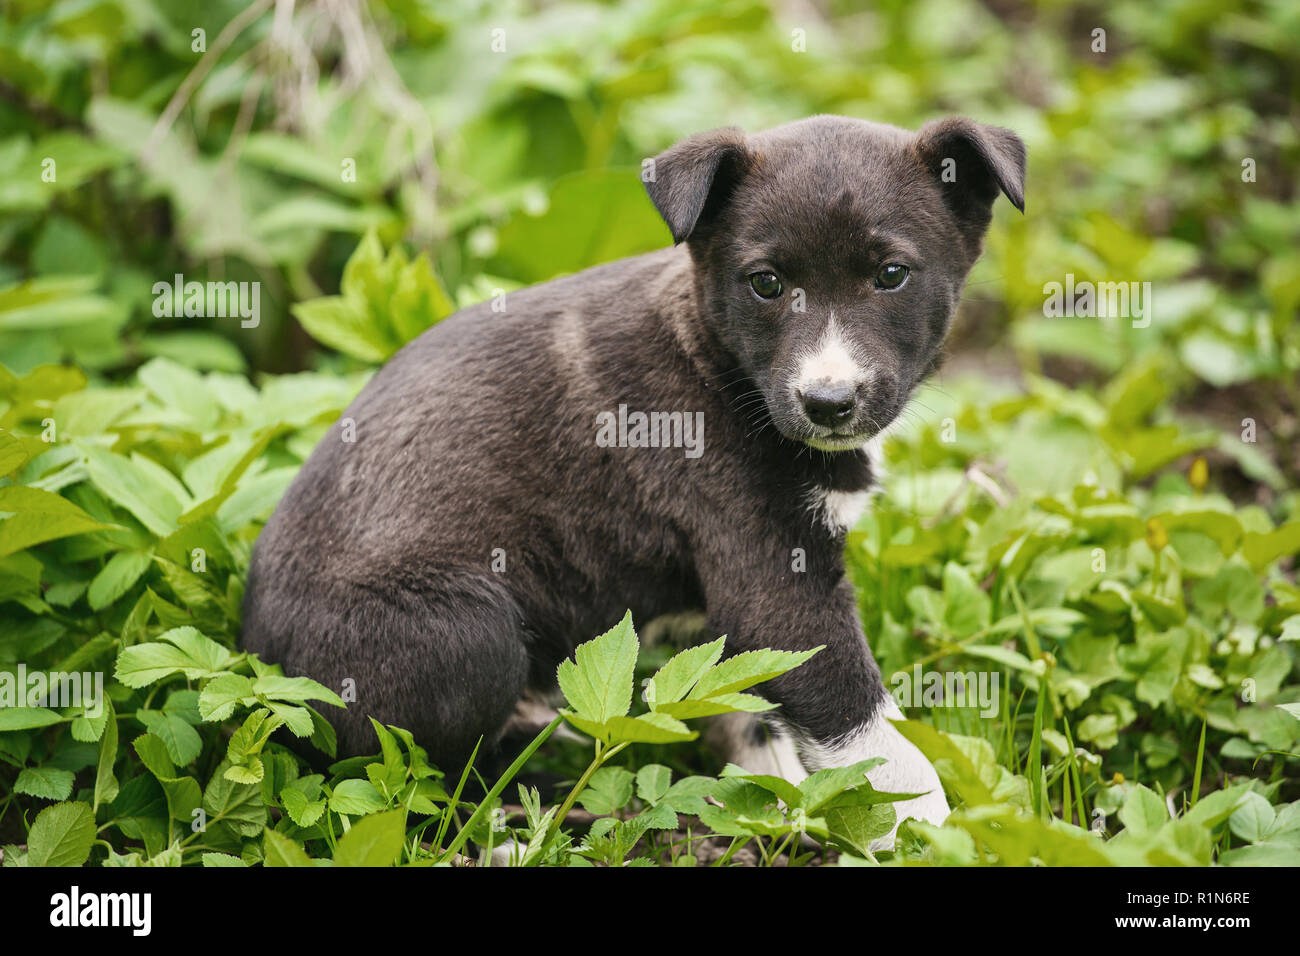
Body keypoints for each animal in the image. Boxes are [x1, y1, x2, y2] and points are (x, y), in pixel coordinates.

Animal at [239, 113, 1019, 842]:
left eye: (891, 275)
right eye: (766, 284)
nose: (827, 403)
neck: (722, 367)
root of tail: (256, 653)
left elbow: (751, 711)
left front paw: (770, 803)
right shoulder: (777, 584)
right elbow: (873, 731)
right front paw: (936, 829)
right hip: (466, 625)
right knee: (422, 779)